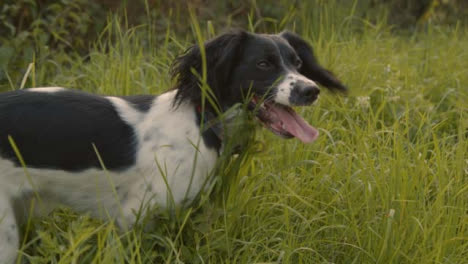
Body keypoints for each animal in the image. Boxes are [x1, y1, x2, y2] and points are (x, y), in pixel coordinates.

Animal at [0, 30, 348, 262]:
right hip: (6, 235)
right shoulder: (134, 217)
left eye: (298, 62)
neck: (200, 120)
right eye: (263, 64)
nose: (311, 90)